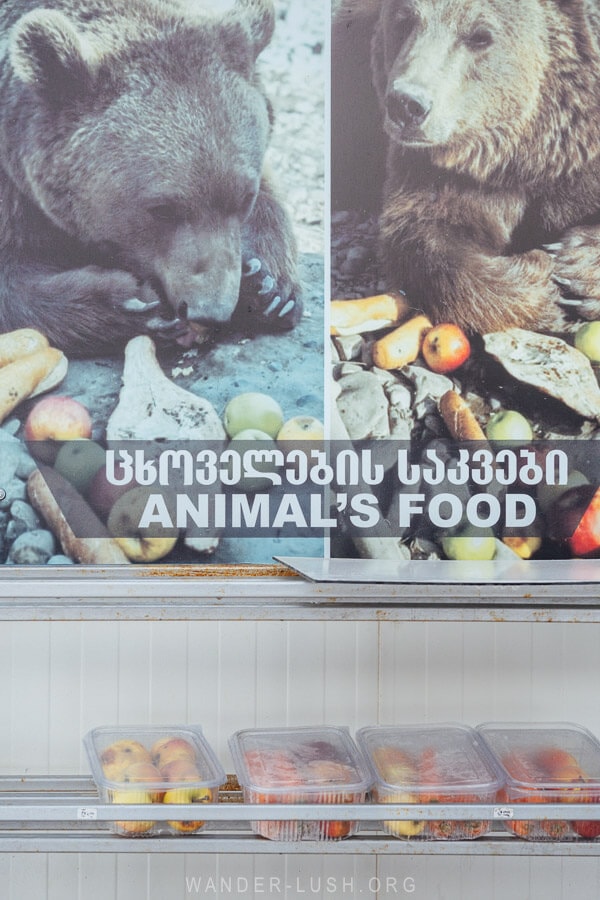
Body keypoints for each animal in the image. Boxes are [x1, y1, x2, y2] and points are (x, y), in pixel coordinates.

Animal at [0, 0, 300, 358]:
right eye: (163, 209)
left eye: (244, 198)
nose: (211, 310)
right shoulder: (12, 191)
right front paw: (134, 302)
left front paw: (269, 289)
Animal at [332, 0, 600, 336]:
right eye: (404, 20)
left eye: (480, 36)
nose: (406, 104)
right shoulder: (448, 173)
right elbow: (427, 239)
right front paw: (547, 282)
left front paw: (576, 267)